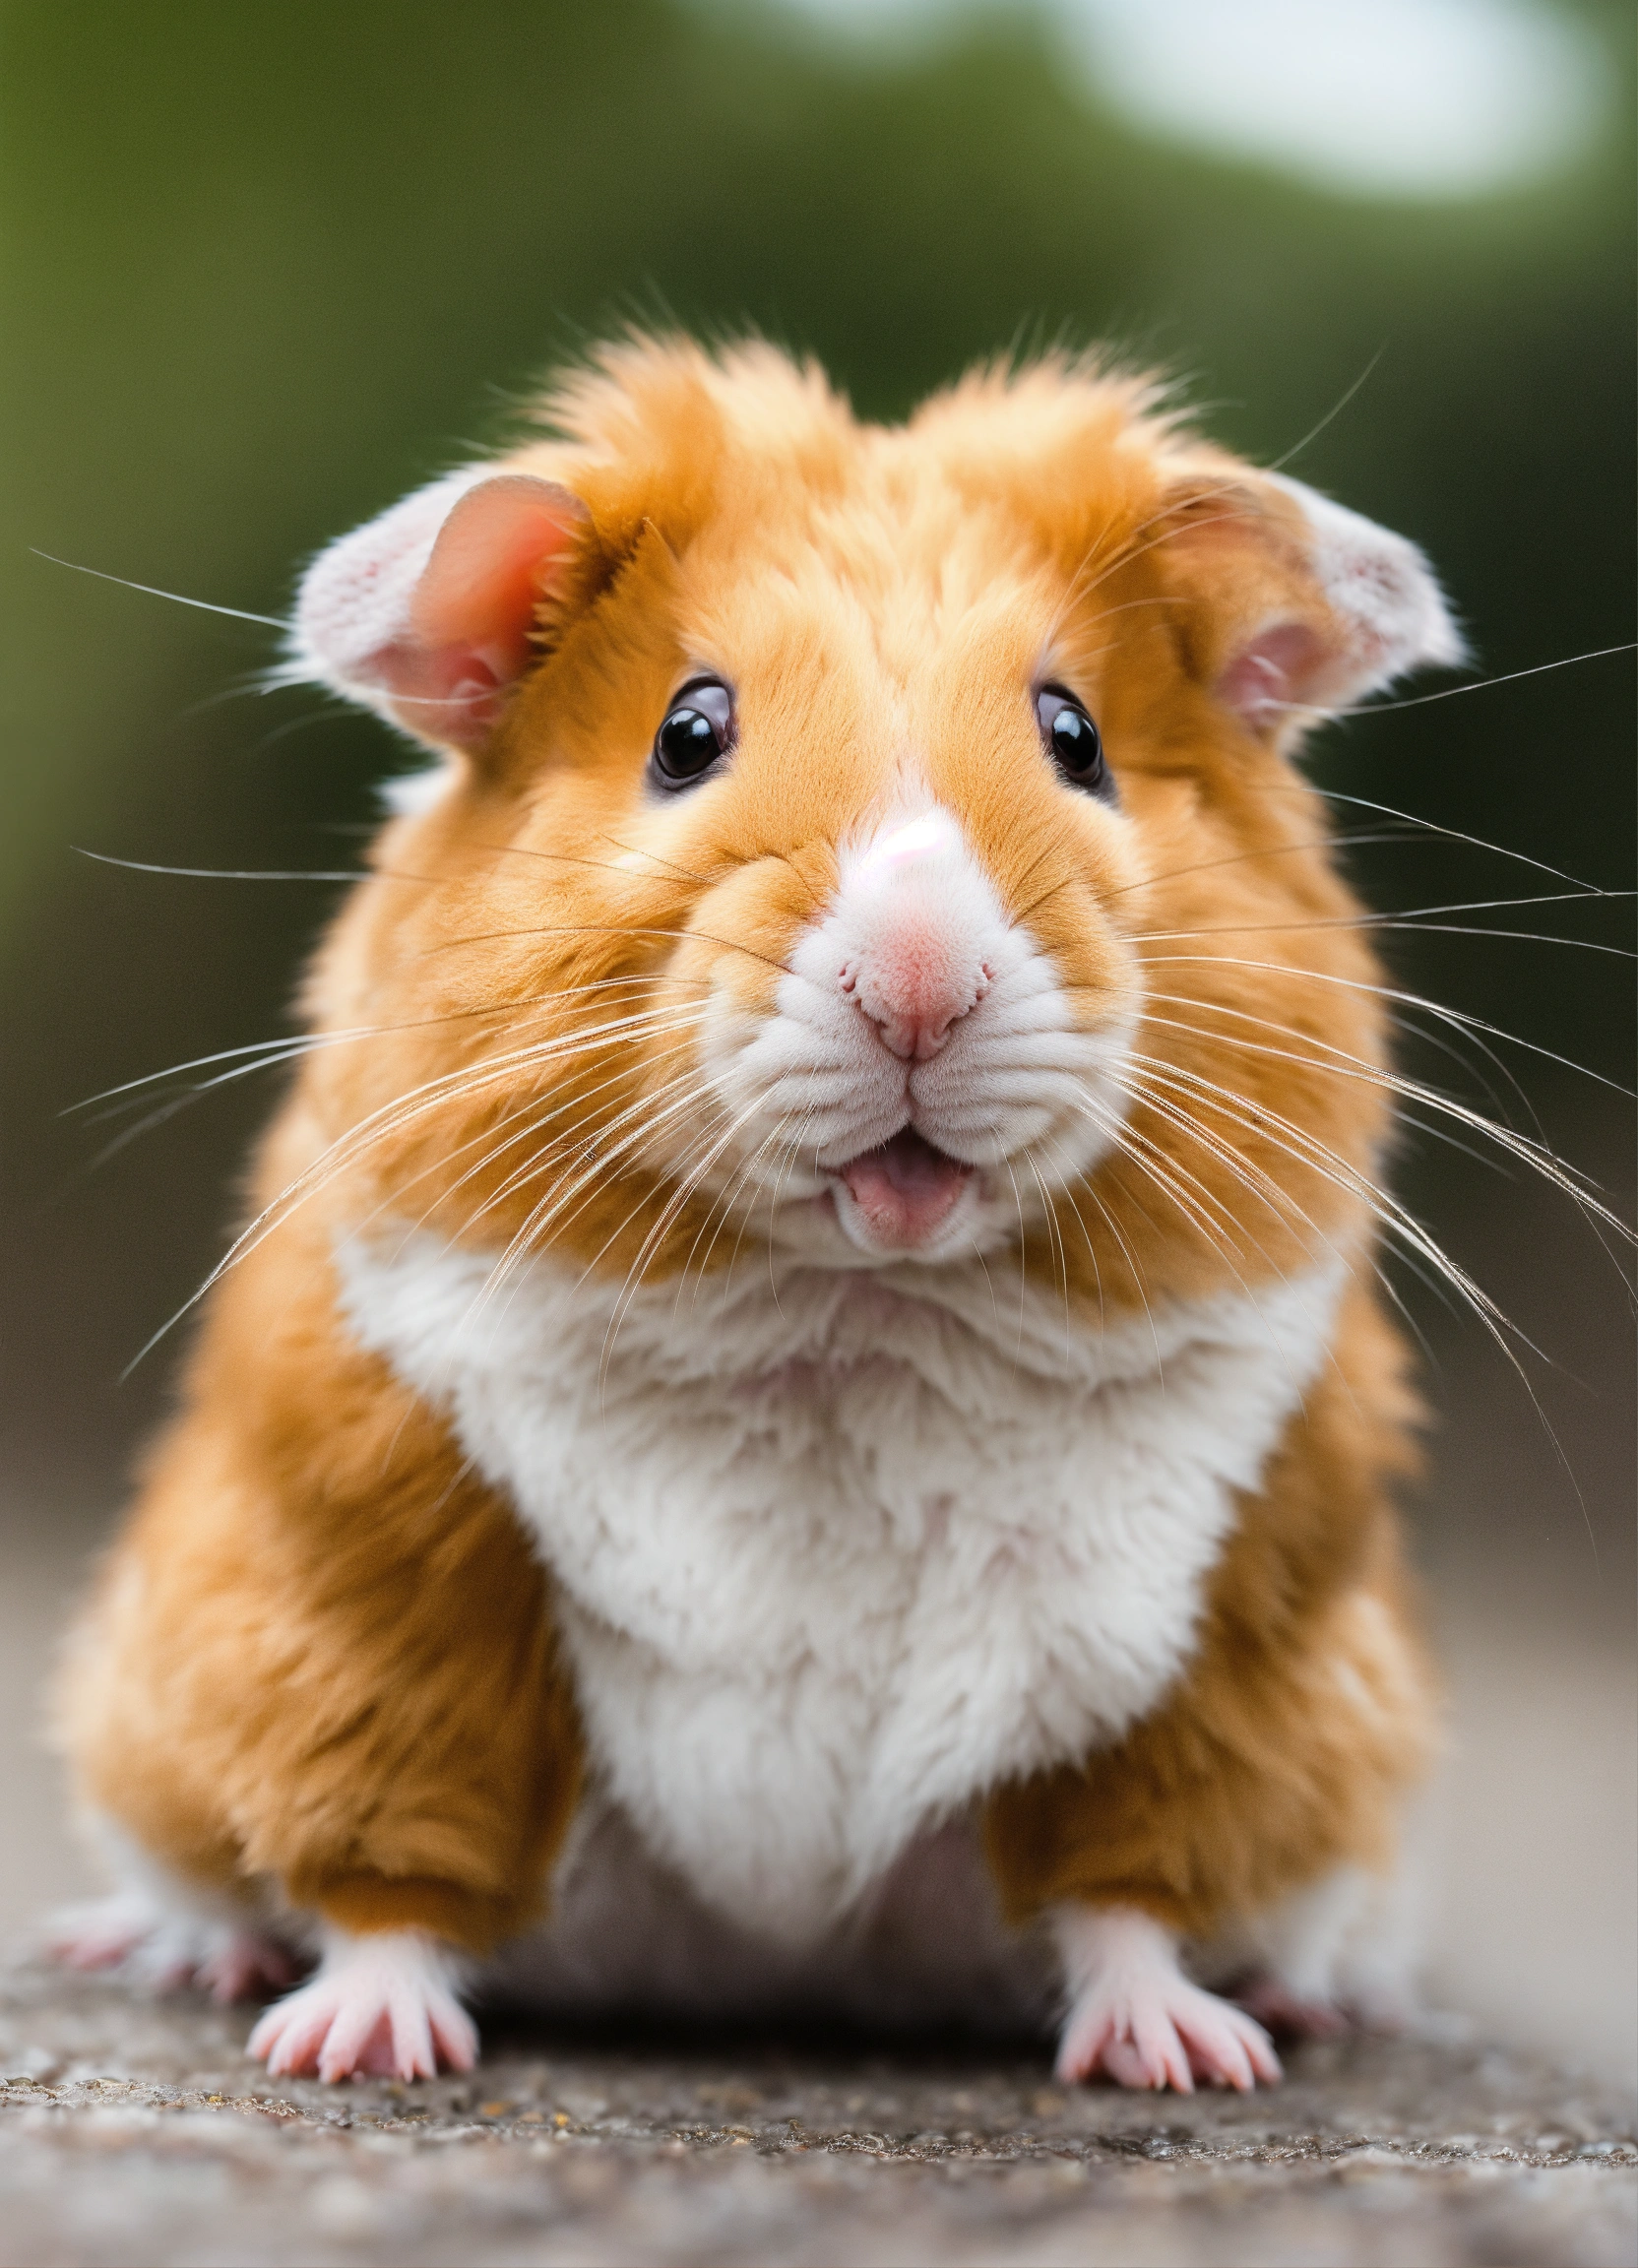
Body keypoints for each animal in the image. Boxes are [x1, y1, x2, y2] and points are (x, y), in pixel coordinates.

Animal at [47, 335, 1452, 2086]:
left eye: (1077, 737)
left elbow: (1125, 1895)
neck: (858, 1300)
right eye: (688, 731)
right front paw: (353, 2056)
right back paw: (177, 1961)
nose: (919, 978)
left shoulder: (1207, 1669)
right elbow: (394, 1882)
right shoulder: (385, 1604)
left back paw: (1303, 2009)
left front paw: (1192, 2068)